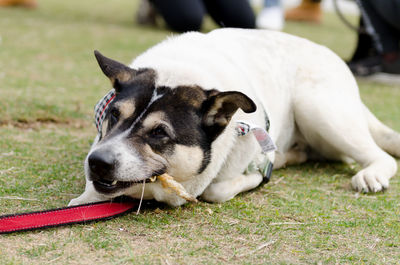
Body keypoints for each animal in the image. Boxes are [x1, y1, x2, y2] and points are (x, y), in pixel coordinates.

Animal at [69, 28, 400, 206]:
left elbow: (217, 189)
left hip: (318, 109)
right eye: (113, 115)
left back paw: (371, 174)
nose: (98, 162)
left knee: (379, 156)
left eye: (160, 133)